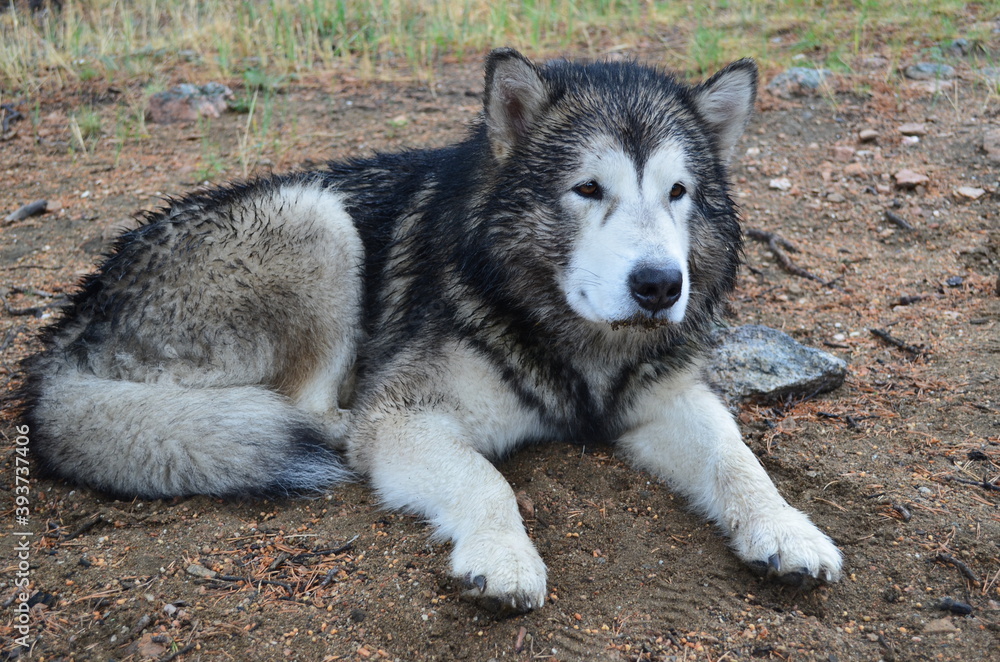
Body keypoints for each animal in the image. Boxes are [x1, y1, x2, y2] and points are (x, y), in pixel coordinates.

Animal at [21, 49, 836, 616]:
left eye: (678, 194)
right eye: (587, 189)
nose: (661, 285)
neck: (575, 347)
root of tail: (69, 328)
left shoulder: (666, 401)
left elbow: (738, 458)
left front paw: (787, 530)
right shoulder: (408, 415)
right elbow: (486, 480)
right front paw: (505, 557)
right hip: (317, 217)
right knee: (308, 412)